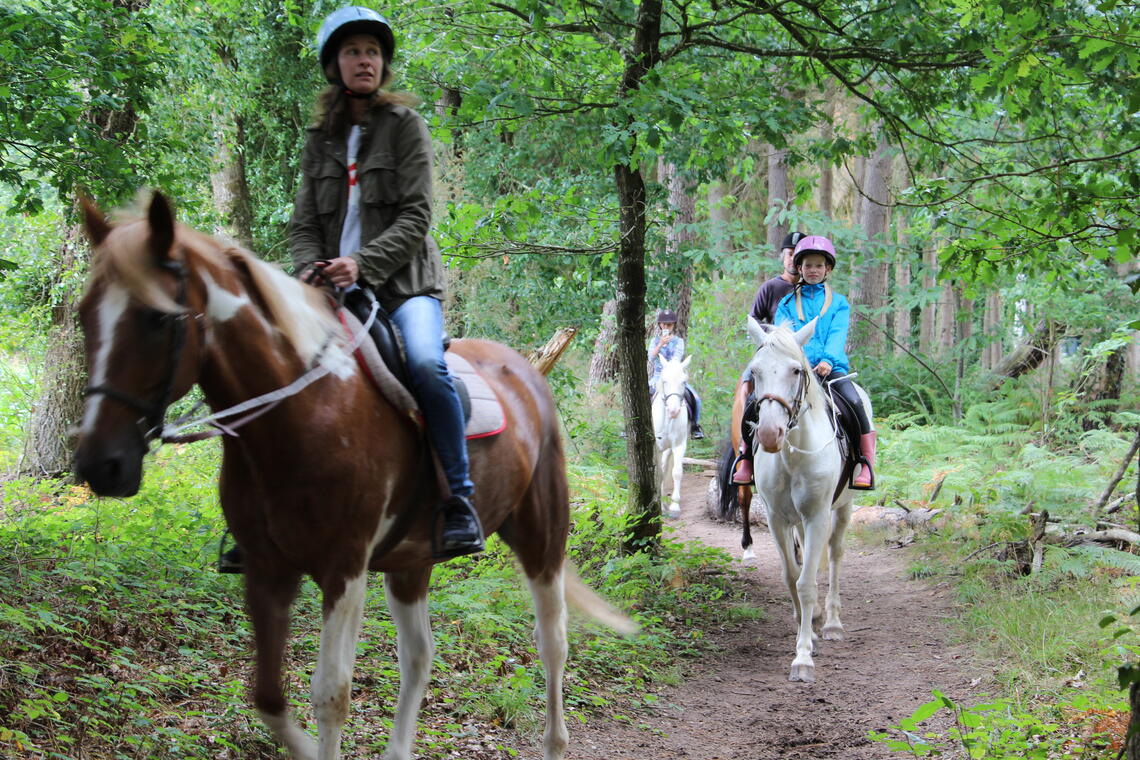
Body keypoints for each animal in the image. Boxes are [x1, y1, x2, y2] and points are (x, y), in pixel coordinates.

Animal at [71, 194, 633, 760]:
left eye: (156, 320)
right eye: (82, 316)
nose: (100, 464)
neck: (299, 413)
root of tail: (526, 371)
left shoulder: (344, 568)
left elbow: (330, 694)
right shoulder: (267, 568)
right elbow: (269, 698)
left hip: (541, 536)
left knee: (552, 640)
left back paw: (555, 740)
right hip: (411, 561)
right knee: (419, 656)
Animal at [747, 314, 870, 683]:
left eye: (796, 370)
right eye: (755, 370)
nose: (769, 434)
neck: (792, 456)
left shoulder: (818, 516)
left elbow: (808, 583)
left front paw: (803, 658)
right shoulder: (776, 518)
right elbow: (791, 576)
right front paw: (806, 632)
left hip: (842, 509)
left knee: (836, 556)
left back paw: (831, 623)